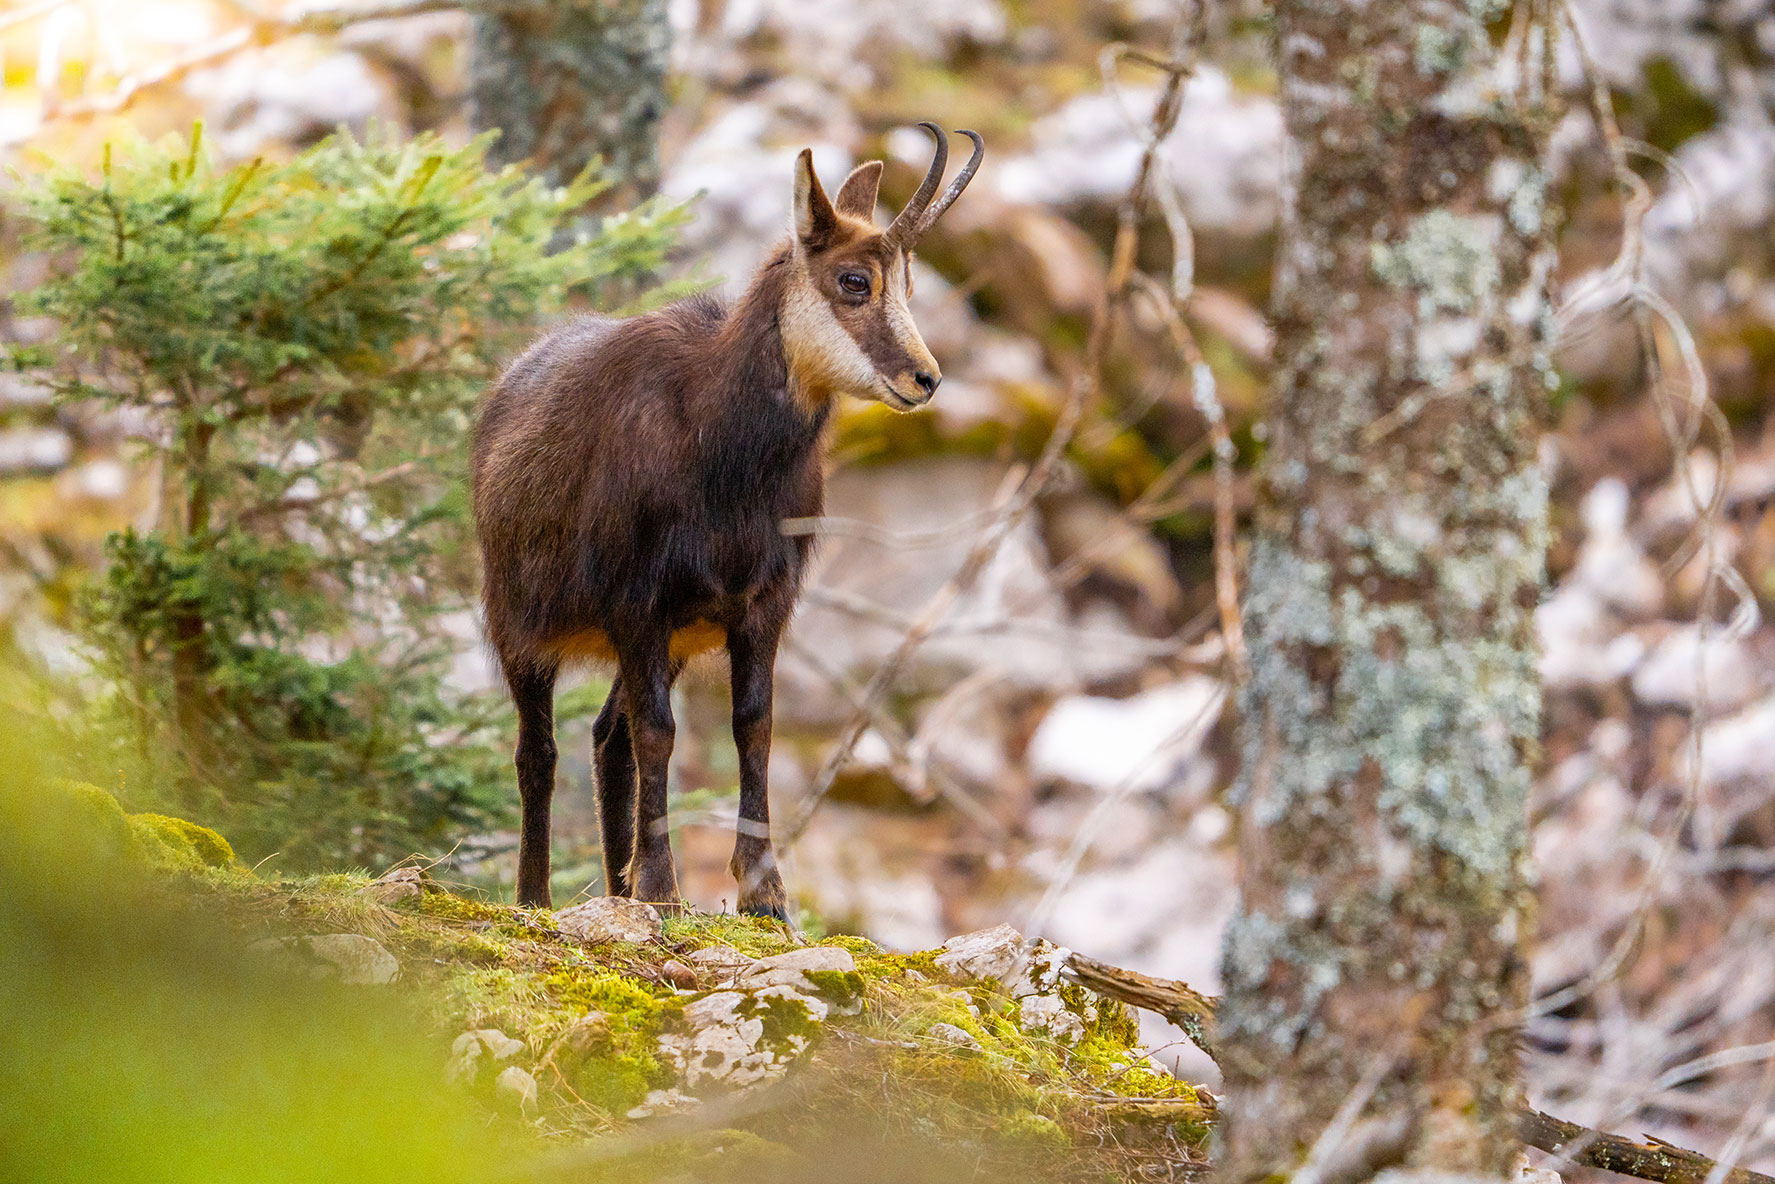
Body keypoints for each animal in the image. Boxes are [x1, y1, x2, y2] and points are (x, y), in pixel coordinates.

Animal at [472, 123, 984, 916]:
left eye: (907, 284)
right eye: (853, 281)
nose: (924, 379)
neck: (724, 454)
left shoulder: (759, 604)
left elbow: (754, 725)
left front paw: (762, 894)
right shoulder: (638, 601)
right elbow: (660, 732)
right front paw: (662, 888)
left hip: (671, 639)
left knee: (607, 738)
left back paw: (616, 891)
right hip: (519, 620)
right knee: (541, 750)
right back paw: (535, 897)